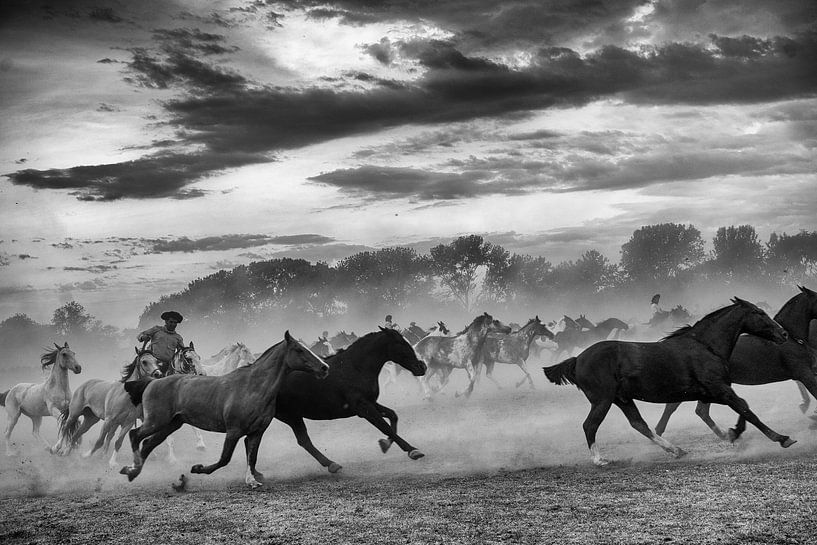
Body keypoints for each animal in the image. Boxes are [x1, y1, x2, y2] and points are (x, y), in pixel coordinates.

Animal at [120, 331, 329, 488]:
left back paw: (133, 471)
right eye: (298, 349)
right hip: (155, 421)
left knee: (148, 443)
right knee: (135, 435)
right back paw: (132, 468)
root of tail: (152, 382)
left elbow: (252, 457)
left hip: (171, 424)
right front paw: (198, 468)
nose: (324, 367)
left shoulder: (257, 432)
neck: (252, 386)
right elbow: (224, 459)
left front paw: (252, 480)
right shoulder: (233, 431)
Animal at [275, 327, 427, 473]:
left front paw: (385, 444)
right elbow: (385, 427)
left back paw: (331, 464)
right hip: (290, 416)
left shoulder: (370, 403)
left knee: (304, 441)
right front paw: (412, 450)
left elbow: (393, 416)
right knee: (304, 441)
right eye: (401, 343)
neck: (355, 368)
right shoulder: (363, 407)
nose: (422, 366)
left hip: (294, 416)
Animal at [543, 298, 791, 466]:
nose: (784, 334)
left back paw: (676, 450)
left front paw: (733, 433)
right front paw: (781, 438)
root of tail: (577, 359)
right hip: (602, 400)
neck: (705, 346)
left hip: (622, 399)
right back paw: (599, 460)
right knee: (590, 425)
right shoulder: (719, 389)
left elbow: (740, 407)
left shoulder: (712, 391)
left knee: (639, 424)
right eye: (759, 312)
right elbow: (746, 409)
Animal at [655, 286, 817, 438]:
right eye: (759, 313)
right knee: (679, 408)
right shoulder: (804, 374)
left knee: (698, 410)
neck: (794, 340)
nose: (783, 334)